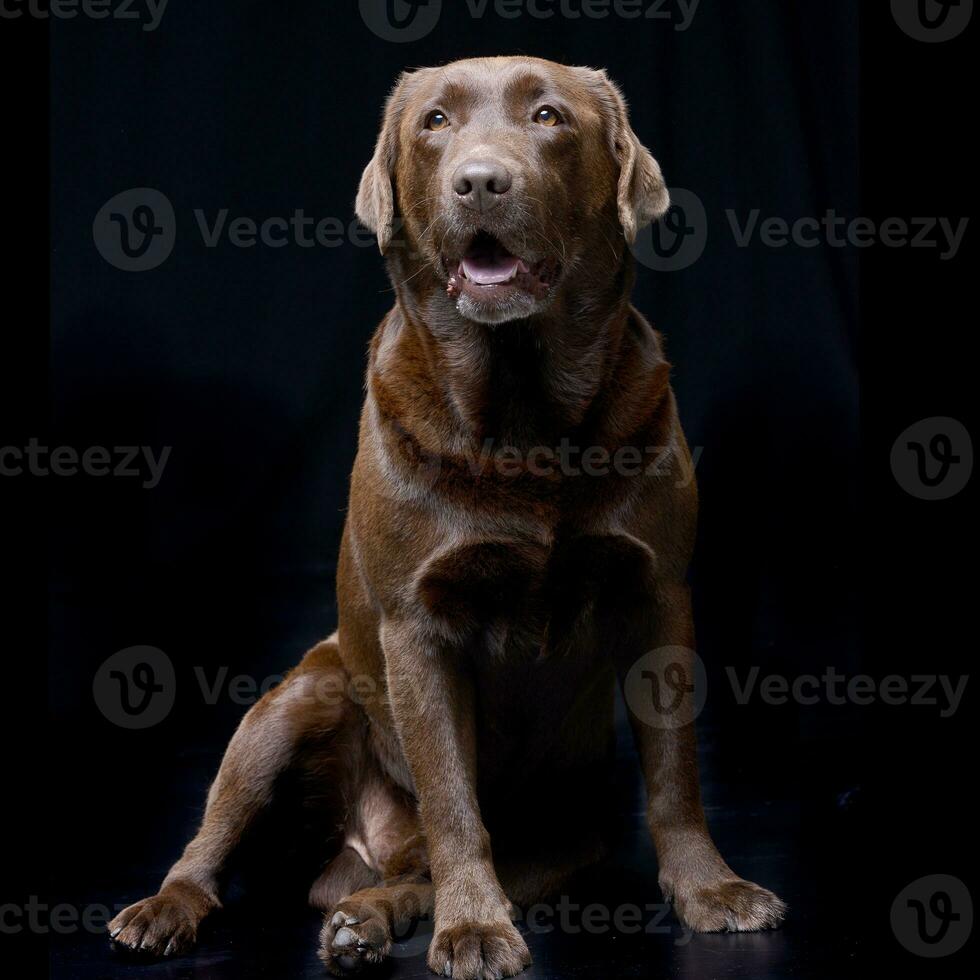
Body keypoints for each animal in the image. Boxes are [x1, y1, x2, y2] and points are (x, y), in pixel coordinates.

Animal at [107, 55, 784, 980]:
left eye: (548, 116)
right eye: (434, 123)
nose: (481, 181)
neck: (524, 416)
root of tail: (363, 851)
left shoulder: (661, 596)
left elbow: (676, 770)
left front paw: (710, 888)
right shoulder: (415, 625)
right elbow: (451, 796)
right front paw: (473, 930)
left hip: (565, 838)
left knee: (421, 873)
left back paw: (364, 919)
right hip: (293, 702)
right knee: (214, 840)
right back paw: (170, 909)